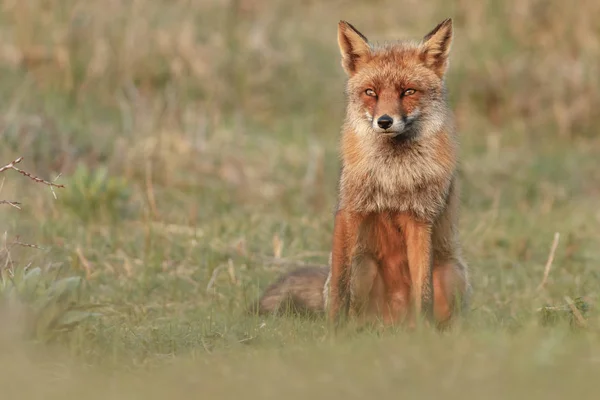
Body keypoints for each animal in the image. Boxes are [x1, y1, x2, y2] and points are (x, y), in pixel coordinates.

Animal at [253, 18, 468, 330]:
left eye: (408, 91)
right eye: (371, 93)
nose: (385, 121)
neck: (392, 174)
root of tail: (393, 323)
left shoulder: (420, 219)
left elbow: (424, 292)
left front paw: (423, 332)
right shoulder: (349, 211)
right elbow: (339, 288)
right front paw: (333, 332)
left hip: (452, 273)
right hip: (362, 264)